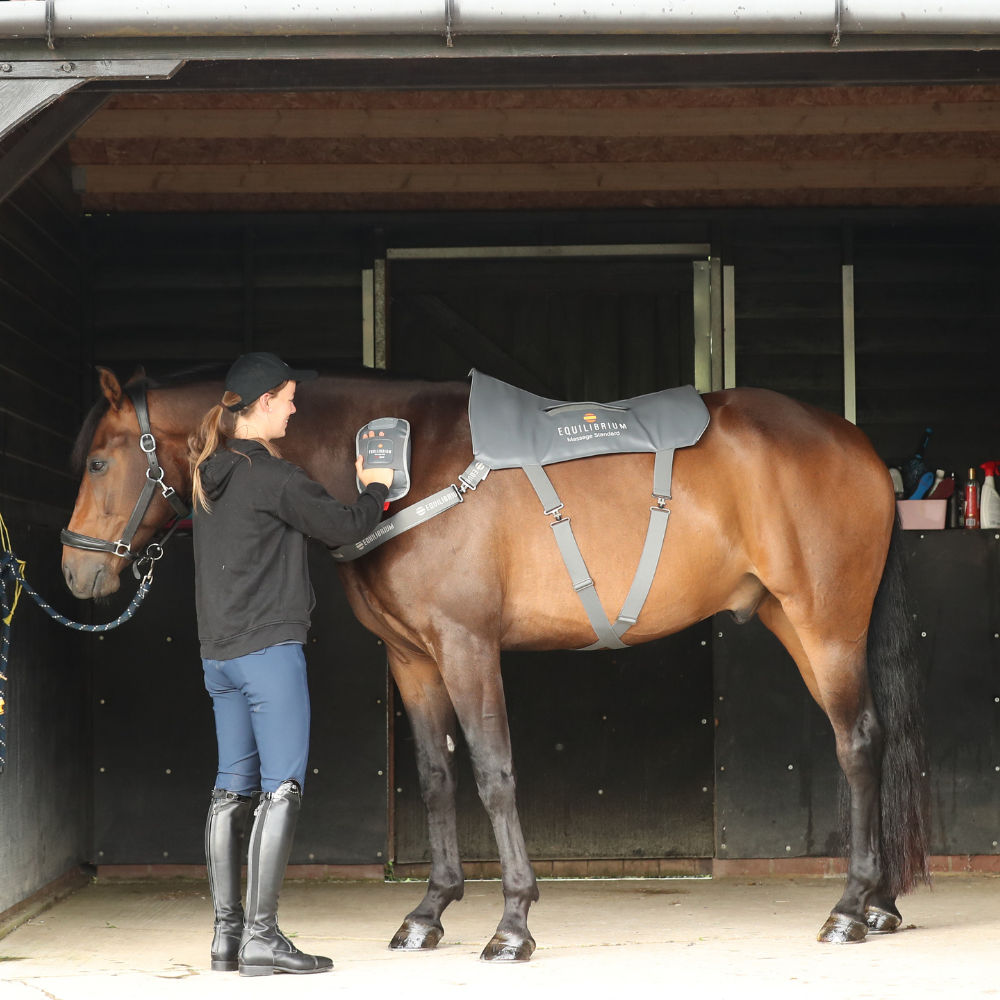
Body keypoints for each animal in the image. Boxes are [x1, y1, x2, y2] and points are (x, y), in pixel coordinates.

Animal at [62, 368, 924, 960]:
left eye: (100, 464)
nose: (75, 573)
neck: (412, 461)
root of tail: (856, 443)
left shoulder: (467, 644)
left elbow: (494, 773)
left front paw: (512, 923)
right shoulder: (413, 657)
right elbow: (438, 778)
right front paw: (428, 913)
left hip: (823, 624)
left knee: (856, 745)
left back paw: (849, 907)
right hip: (794, 620)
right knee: (871, 742)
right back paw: (879, 903)